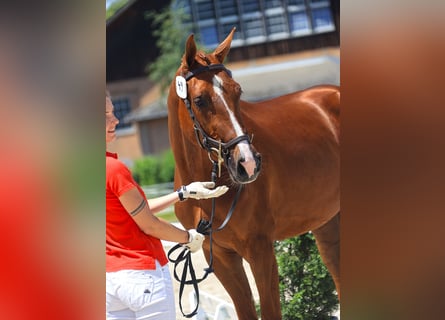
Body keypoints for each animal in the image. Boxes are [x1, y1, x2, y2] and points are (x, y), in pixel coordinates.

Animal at [167, 28, 340, 318]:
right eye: (200, 100)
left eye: (238, 92)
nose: (247, 163)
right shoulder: (222, 258)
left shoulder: (261, 252)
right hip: (328, 223)